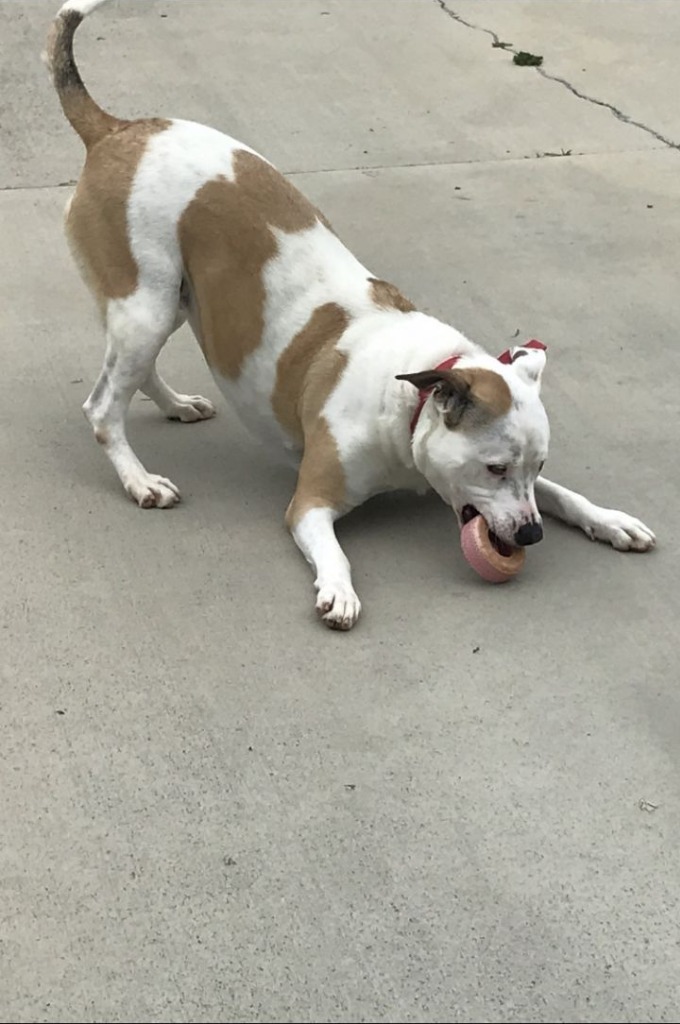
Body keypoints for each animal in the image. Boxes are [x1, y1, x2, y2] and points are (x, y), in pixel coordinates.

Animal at [43, 0, 655, 626]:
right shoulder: (310, 501)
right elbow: (333, 551)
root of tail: (115, 128)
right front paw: (338, 589)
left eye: (536, 466)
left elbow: (566, 494)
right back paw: (140, 481)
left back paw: (175, 405)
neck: (408, 401)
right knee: (102, 407)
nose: (531, 535)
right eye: (494, 468)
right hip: (147, 307)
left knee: (134, 373)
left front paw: (608, 519)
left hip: (161, 305)